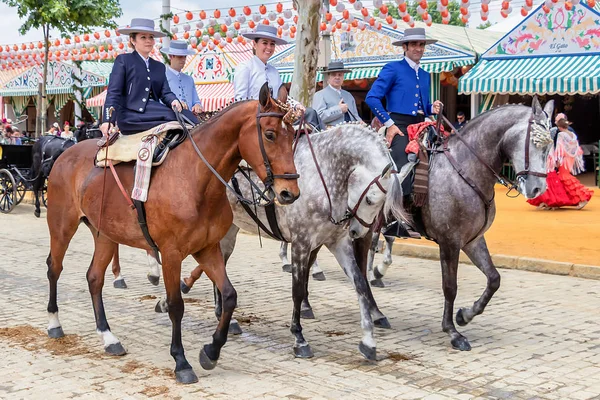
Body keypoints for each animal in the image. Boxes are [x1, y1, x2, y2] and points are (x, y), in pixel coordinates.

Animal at [43, 85, 300, 384]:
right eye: (270, 134)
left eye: (293, 135)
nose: (289, 192)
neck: (195, 178)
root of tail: (65, 152)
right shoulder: (171, 253)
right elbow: (177, 304)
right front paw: (181, 361)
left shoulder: (207, 248)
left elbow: (229, 296)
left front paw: (211, 351)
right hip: (62, 226)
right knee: (54, 268)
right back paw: (54, 323)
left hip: (104, 234)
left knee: (94, 278)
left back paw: (108, 338)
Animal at [157, 124, 410, 360]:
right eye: (370, 199)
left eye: (383, 204)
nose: (358, 231)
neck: (322, 175)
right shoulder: (301, 243)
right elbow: (297, 290)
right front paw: (299, 338)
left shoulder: (337, 243)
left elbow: (360, 284)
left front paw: (368, 340)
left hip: (228, 232)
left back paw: (221, 314)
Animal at [364, 98, 556, 352]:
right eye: (536, 143)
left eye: (549, 147)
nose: (538, 189)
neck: (467, 168)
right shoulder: (450, 242)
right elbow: (450, 287)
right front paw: (453, 332)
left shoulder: (473, 240)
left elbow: (494, 279)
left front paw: (465, 315)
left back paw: (375, 308)